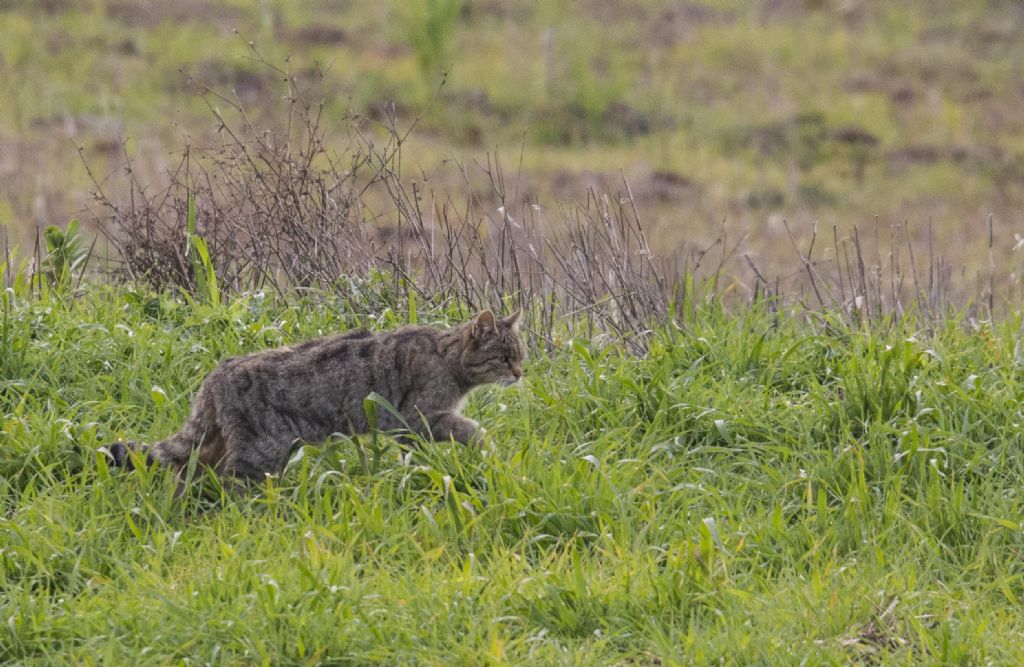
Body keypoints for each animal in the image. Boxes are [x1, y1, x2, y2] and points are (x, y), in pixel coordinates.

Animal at [110, 311, 528, 479]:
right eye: (504, 357)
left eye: (521, 355)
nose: (520, 374)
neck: (449, 359)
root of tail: (217, 372)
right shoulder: (419, 418)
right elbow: (470, 428)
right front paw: (488, 449)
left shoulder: (409, 429)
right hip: (257, 452)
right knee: (227, 481)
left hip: (227, 444)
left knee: (190, 468)